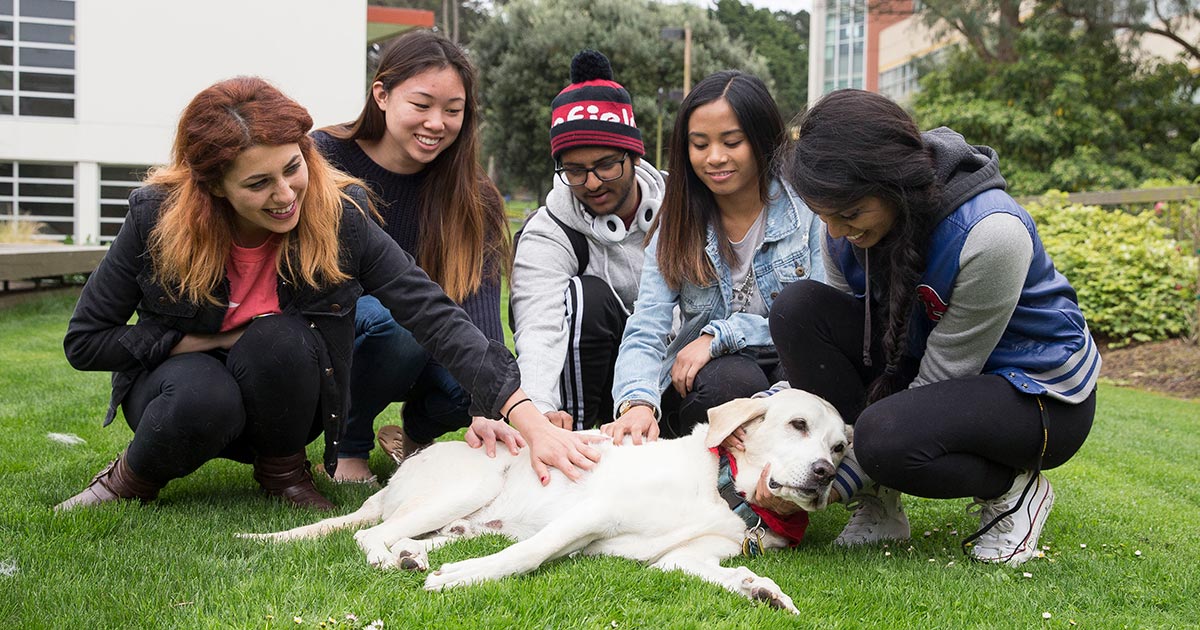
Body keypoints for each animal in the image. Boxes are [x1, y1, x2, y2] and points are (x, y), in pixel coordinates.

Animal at [238, 386, 849, 612]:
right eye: (797, 425)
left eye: (840, 447)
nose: (823, 474)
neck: (724, 492)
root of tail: (395, 477)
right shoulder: (594, 511)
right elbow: (529, 555)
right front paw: (465, 578)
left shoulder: (682, 559)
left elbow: (735, 573)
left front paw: (765, 591)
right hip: (474, 483)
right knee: (371, 533)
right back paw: (398, 558)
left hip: (468, 518)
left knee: (421, 534)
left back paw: (415, 555)